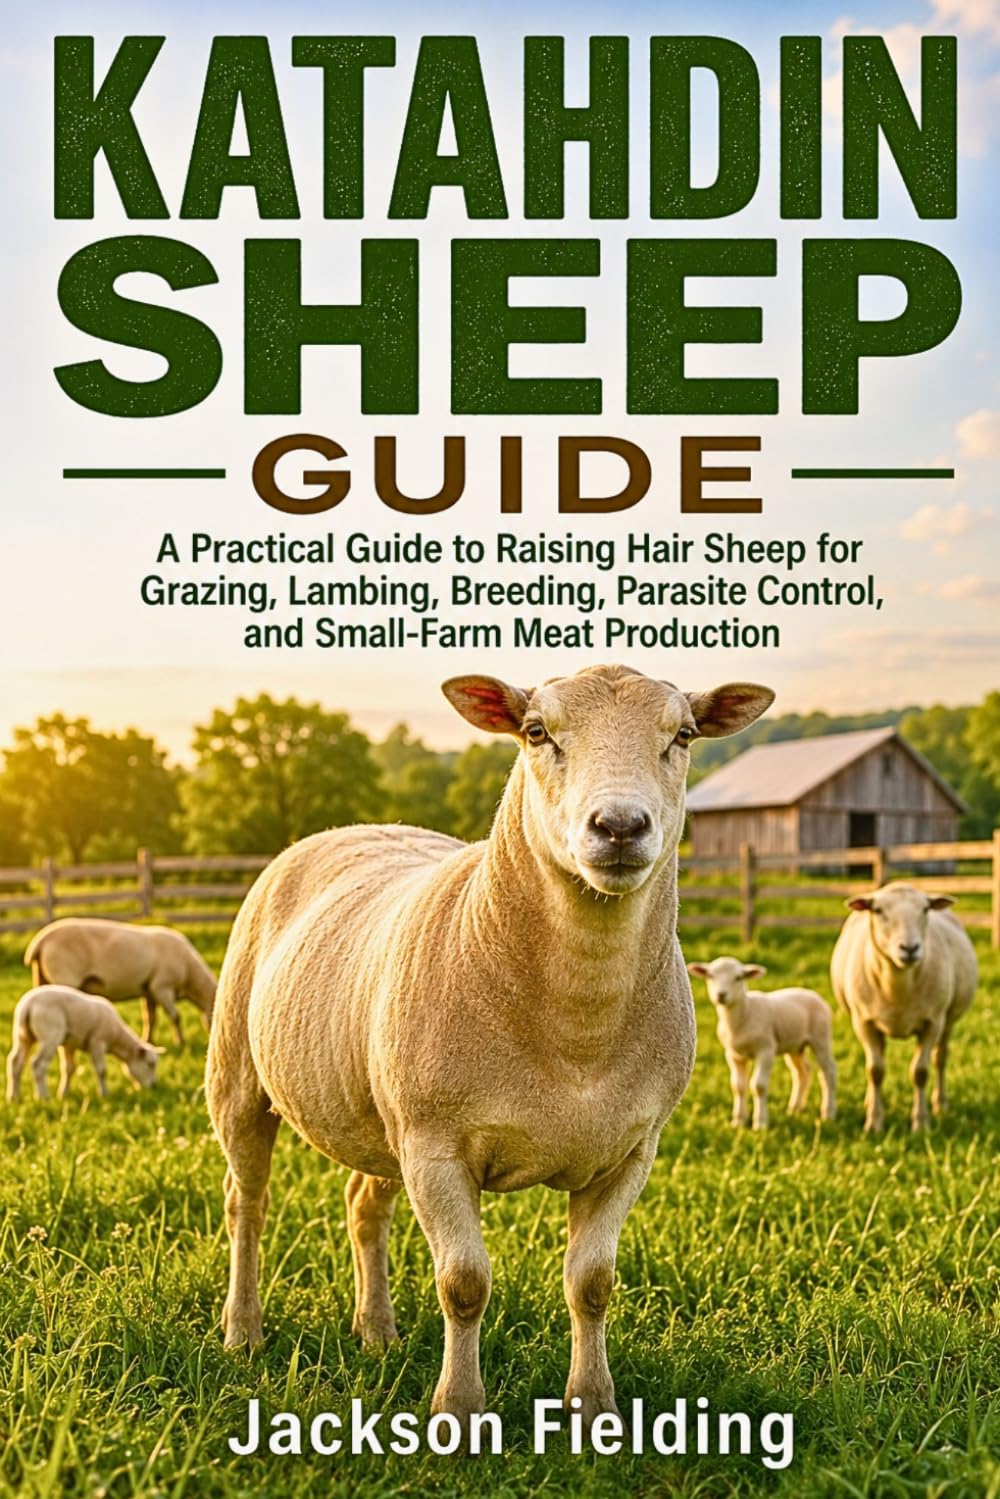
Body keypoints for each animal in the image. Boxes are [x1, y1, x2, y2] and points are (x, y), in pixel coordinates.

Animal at [6, 984, 162, 1101]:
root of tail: (28, 1004)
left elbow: (69, 1068)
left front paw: (64, 1093)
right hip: (50, 1035)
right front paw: (104, 1094)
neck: (117, 1037)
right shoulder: (97, 1042)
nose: (154, 1086)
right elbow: (102, 1071)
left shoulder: (68, 1044)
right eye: (150, 1064)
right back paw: (43, 1097)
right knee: (37, 1064)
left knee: (15, 1062)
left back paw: (14, 1096)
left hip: (23, 1036)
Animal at [24, 918, 217, 1047]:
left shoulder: (149, 990)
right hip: (65, 977)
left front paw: (148, 1040)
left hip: (41, 978)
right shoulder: (162, 987)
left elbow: (150, 1018)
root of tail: (40, 942)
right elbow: (175, 1017)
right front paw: (181, 1042)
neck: (191, 974)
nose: (209, 1041)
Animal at [205, 664, 774, 1433]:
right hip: (241, 1079)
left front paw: (594, 1406)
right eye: (536, 732)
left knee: (363, 1204)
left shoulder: (631, 1150)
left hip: (382, 1118)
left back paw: (376, 1331)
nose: (620, 826)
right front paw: (459, 1410)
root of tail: (350, 828)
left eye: (683, 735)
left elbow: (592, 1283)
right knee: (247, 1203)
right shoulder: (436, 1146)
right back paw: (243, 1330)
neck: (576, 1032)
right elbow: (464, 1284)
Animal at [687, 957, 836, 1129]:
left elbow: (759, 1086)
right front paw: (738, 1121)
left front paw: (760, 1123)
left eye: (738, 977)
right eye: (710, 976)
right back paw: (795, 1108)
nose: (721, 995)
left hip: (821, 1037)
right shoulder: (733, 1055)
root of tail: (813, 994)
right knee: (802, 1071)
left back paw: (828, 1113)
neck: (745, 1013)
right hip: (795, 1045)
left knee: (828, 1072)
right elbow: (738, 1087)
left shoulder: (766, 1050)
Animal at [830, 881, 977, 1132]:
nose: (909, 948)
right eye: (878, 910)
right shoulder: (863, 1022)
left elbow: (920, 1072)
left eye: (925, 909)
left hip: (949, 1019)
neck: (897, 988)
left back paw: (941, 1104)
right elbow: (875, 1071)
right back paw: (869, 1102)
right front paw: (874, 1123)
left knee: (940, 1058)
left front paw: (921, 1124)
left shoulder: (932, 1022)